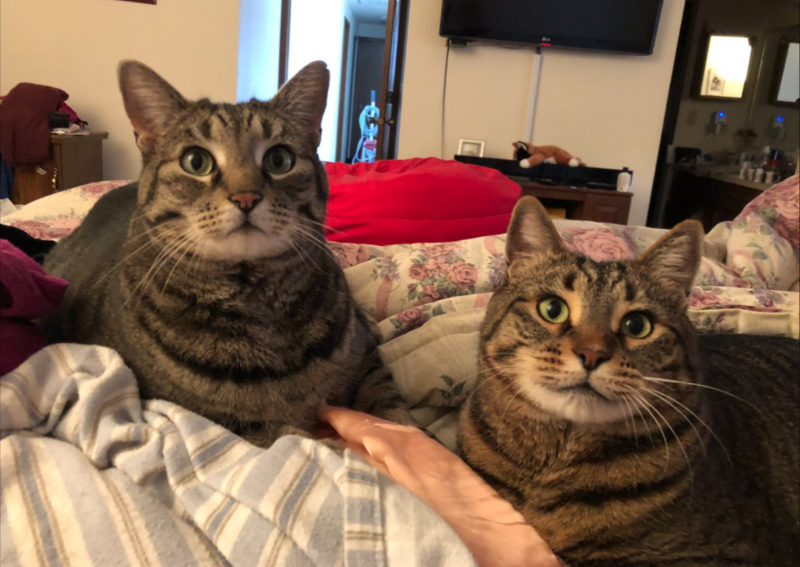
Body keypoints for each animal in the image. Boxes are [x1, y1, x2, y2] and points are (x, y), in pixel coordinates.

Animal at [44, 60, 411, 447]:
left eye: (280, 159)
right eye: (195, 161)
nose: (246, 197)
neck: (259, 302)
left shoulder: (368, 361)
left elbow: (396, 415)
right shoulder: (212, 419)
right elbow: (304, 442)